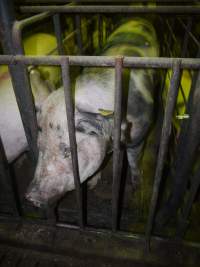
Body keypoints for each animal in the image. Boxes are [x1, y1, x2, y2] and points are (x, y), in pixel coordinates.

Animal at [25, 17, 159, 208]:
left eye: (68, 150)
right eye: (40, 145)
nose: (30, 197)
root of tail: (138, 18)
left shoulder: (139, 132)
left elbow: (133, 159)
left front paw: (137, 186)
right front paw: (91, 185)